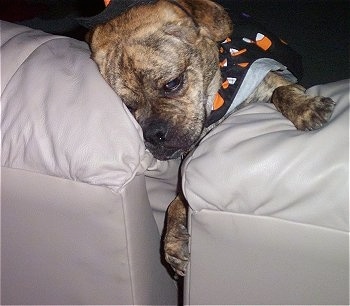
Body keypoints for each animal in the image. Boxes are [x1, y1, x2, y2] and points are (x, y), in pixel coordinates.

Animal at [87, 0, 334, 278]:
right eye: (129, 107)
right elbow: (175, 204)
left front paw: (305, 108)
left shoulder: (272, 83)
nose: (153, 135)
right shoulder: (187, 175)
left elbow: (282, 92)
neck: (216, 105)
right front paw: (173, 243)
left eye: (172, 83)